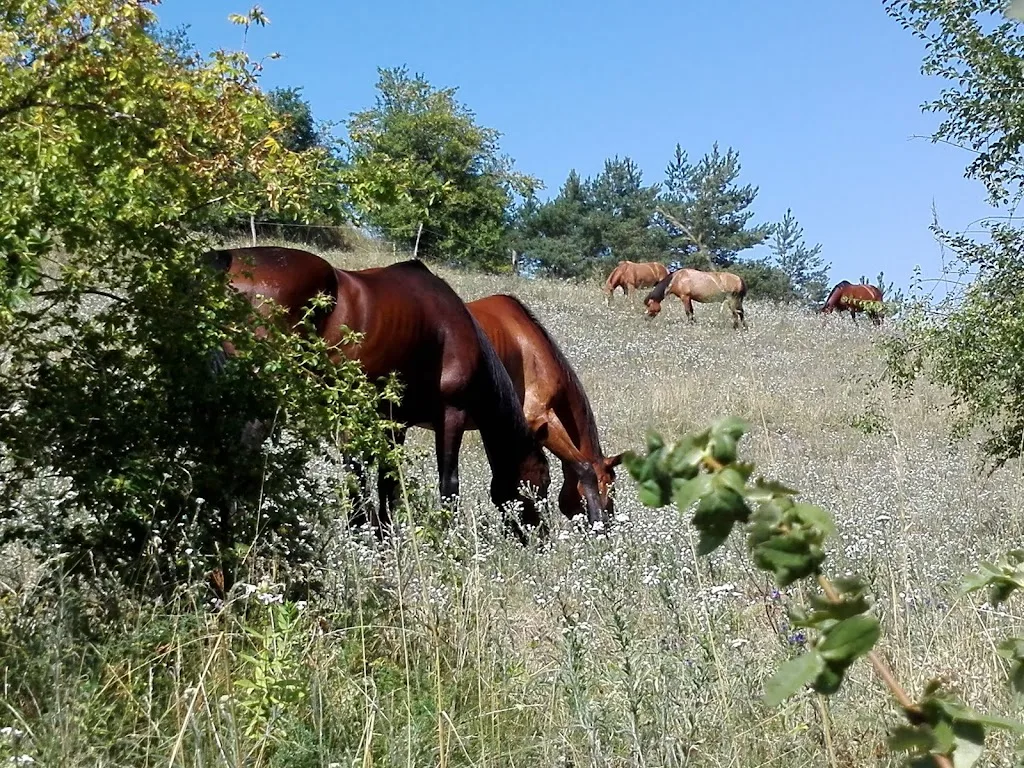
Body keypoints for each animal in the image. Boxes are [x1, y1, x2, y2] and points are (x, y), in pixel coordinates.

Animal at [205, 246, 551, 542]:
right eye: (544, 480)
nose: (542, 540)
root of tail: (226, 261)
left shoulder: (394, 422)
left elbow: (388, 481)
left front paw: (385, 537)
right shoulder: (451, 413)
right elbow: (448, 483)